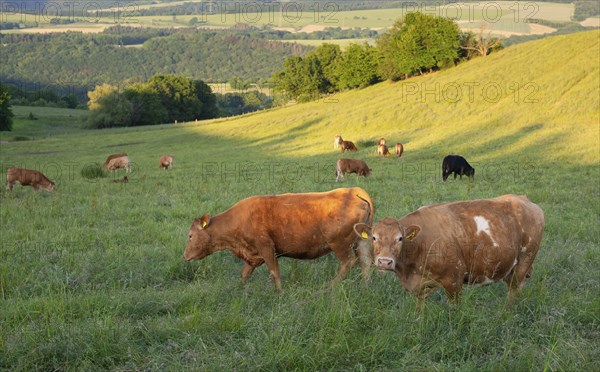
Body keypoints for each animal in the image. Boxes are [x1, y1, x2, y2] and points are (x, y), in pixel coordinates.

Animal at [183, 187, 372, 292]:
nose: (184, 256)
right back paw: (365, 287)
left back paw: (330, 287)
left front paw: (280, 293)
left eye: (190, 235)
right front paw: (238, 290)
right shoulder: (253, 256)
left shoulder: (266, 247)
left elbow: (274, 272)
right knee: (365, 262)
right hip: (360, 241)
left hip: (339, 244)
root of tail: (354, 191)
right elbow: (244, 275)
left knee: (349, 263)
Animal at [354, 195, 548, 306]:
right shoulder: (418, 287)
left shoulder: (454, 279)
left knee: (514, 288)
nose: (384, 262)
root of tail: (523, 199)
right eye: (374, 237)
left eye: (400, 238)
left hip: (525, 258)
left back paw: (506, 313)